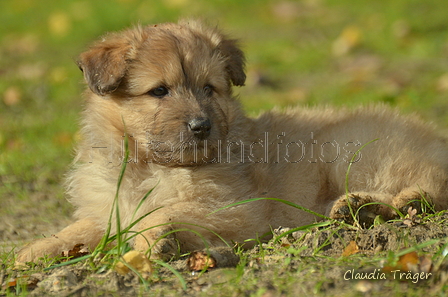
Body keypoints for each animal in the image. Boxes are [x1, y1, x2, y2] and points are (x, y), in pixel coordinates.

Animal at [17, 20, 448, 262]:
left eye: (209, 88)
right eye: (159, 91)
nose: (200, 126)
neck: (148, 165)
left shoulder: (236, 208)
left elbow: (162, 212)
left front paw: (150, 243)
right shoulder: (110, 207)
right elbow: (84, 226)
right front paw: (33, 251)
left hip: (351, 150)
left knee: (432, 190)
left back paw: (381, 204)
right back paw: (358, 209)